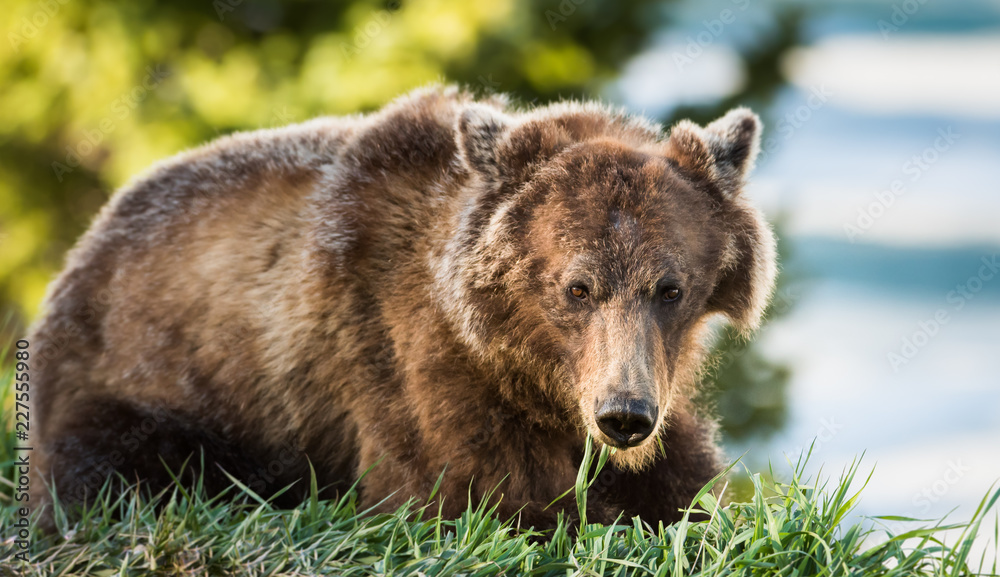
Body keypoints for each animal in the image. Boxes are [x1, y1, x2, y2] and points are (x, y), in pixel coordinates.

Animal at [27, 85, 776, 531]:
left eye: (670, 287)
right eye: (577, 287)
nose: (623, 415)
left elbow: (691, 486)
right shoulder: (400, 363)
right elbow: (475, 495)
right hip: (156, 380)